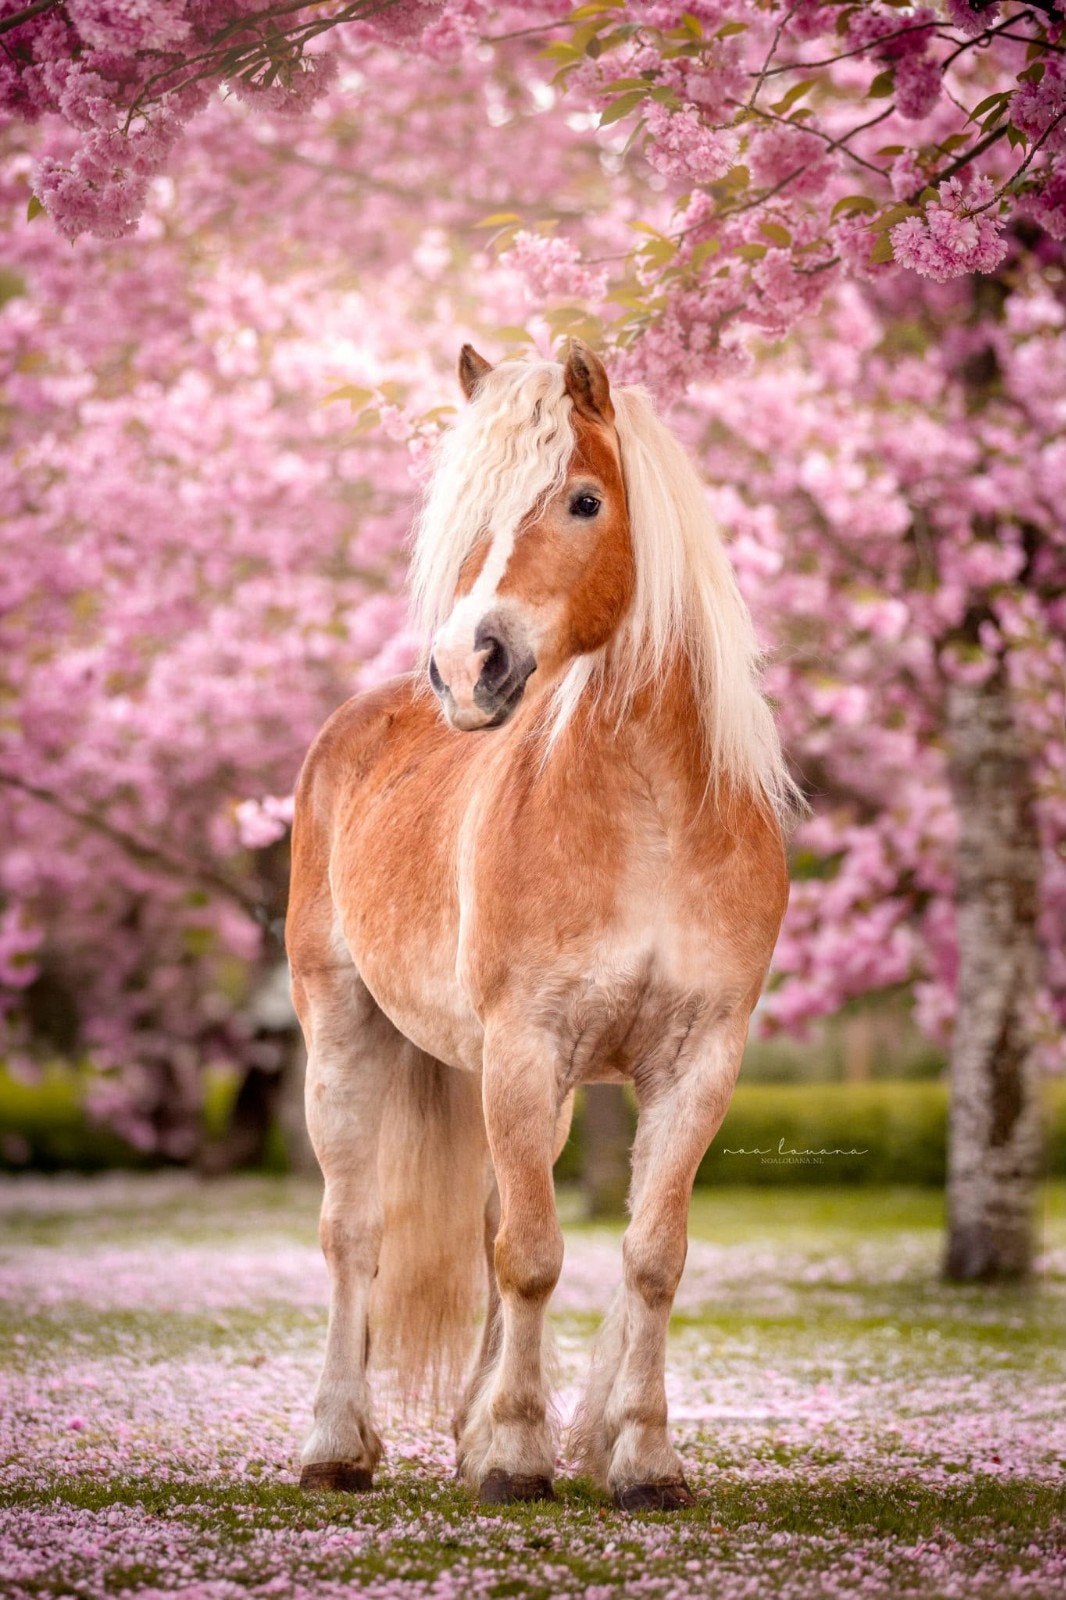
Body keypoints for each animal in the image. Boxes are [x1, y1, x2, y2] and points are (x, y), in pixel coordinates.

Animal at [286, 339, 795, 1511]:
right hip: (346, 1033)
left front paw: (640, 1458)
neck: (655, 817)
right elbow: (532, 1255)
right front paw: (520, 1455)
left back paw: (464, 1433)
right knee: (354, 1233)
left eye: (583, 500)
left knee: (481, 1227)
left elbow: (650, 1255)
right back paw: (339, 1443)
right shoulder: (525, 1045)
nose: (467, 667)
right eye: (469, 512)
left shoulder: (698, 1058)